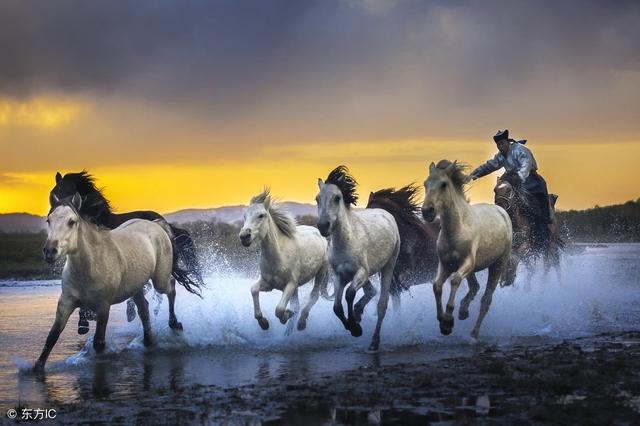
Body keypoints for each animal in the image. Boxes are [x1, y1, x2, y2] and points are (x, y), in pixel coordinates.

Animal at [34, 195, 198, 372]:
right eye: (49, 220)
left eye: (72, 221)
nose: (50, 251)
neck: (90, 264)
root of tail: (156, 224)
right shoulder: (66, 303)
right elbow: (52, 337)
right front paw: (37, 367)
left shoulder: (103, 307)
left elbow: (98, 343)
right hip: (136, 287)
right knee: (144, 309)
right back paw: (149, 342)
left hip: (160, 280)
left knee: (171, 287)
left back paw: (175, 324)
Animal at [240, 190, 330, 332]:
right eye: (244, 216)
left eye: (261, 215)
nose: (244, 237)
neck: (279, 256)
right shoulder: (268, 284)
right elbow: (253, 290)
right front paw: (264, 323)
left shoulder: (290, 284)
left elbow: (279, 309)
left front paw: (286, 316)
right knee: (297, 303)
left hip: (321, 272)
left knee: (314, 296)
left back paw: (301, 323)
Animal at [316, 165, 400, 352]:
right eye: (317, 198)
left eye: (337, 197)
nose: (323, 226)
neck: (347, 241)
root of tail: (387, 214)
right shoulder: (339, 275)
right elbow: (337, 307)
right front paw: (353, 324)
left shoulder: (361, 272)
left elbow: (349, 294)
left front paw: (355, 327)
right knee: (371, 292)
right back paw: (359, 312)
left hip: (389, 265)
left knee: (382, 304)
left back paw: (374, 342)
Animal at [420, 161, 516, 340]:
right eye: (425, 184)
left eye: (443, 184)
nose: (427, 211)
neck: (456, 230)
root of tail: (502, 211)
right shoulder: (446, 264)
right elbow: (437, 286)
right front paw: (442, 322)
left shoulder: (467, 263)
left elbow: (455, 281)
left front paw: (448, 321)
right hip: (473, 270)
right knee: (475, 287)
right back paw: (463, 311)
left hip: (498, 264)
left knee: (486, 299)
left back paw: (474, 334)